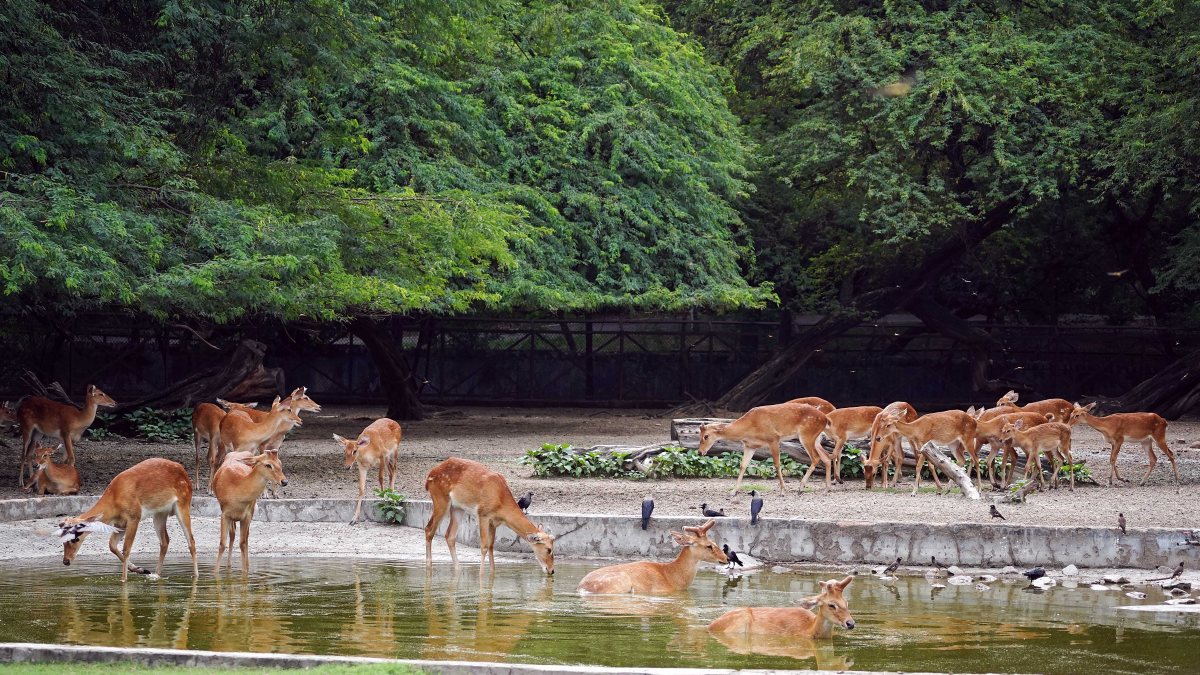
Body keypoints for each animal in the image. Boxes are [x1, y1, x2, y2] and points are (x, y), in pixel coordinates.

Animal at [55, 457, 198, 583]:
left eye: (75, 538)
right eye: (61, 538)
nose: (66, 561)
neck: (114, 501)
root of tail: (184, 472)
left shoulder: (134, 516)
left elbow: (126, 548)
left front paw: (124, 579)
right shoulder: (120, 523)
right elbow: (112, 545)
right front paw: (141, 569)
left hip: (183, 503)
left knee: (191, 541)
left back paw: (195, 576)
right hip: (159, 513)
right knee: (165, 541)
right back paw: (156, 574)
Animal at [424, 457, 555, 576]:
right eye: (549, 549)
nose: (552, 570)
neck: (501, 502)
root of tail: (429, 477)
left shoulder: (493, 521)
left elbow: (491, 545)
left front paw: (492, 572)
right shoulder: (483, 514)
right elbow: (484, 546)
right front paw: (481, 574)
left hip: (458, 508)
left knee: (449, 535)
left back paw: (458, 568)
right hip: (440, 498)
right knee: (429, 529)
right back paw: (429, 567)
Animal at [698, 402, 831, 494]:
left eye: (706, 436)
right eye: (698, 435)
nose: (700, 452)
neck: (749, 428)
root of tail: (825, 419)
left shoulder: (774, 439)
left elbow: (777, 464)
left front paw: (783, 490)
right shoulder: (749, 445)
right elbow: (743, 466)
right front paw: (733, 491)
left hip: (806, 435)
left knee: (816, 458)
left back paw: (801, 487)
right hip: (815, 438)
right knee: (827, 457)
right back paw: (826, 488)